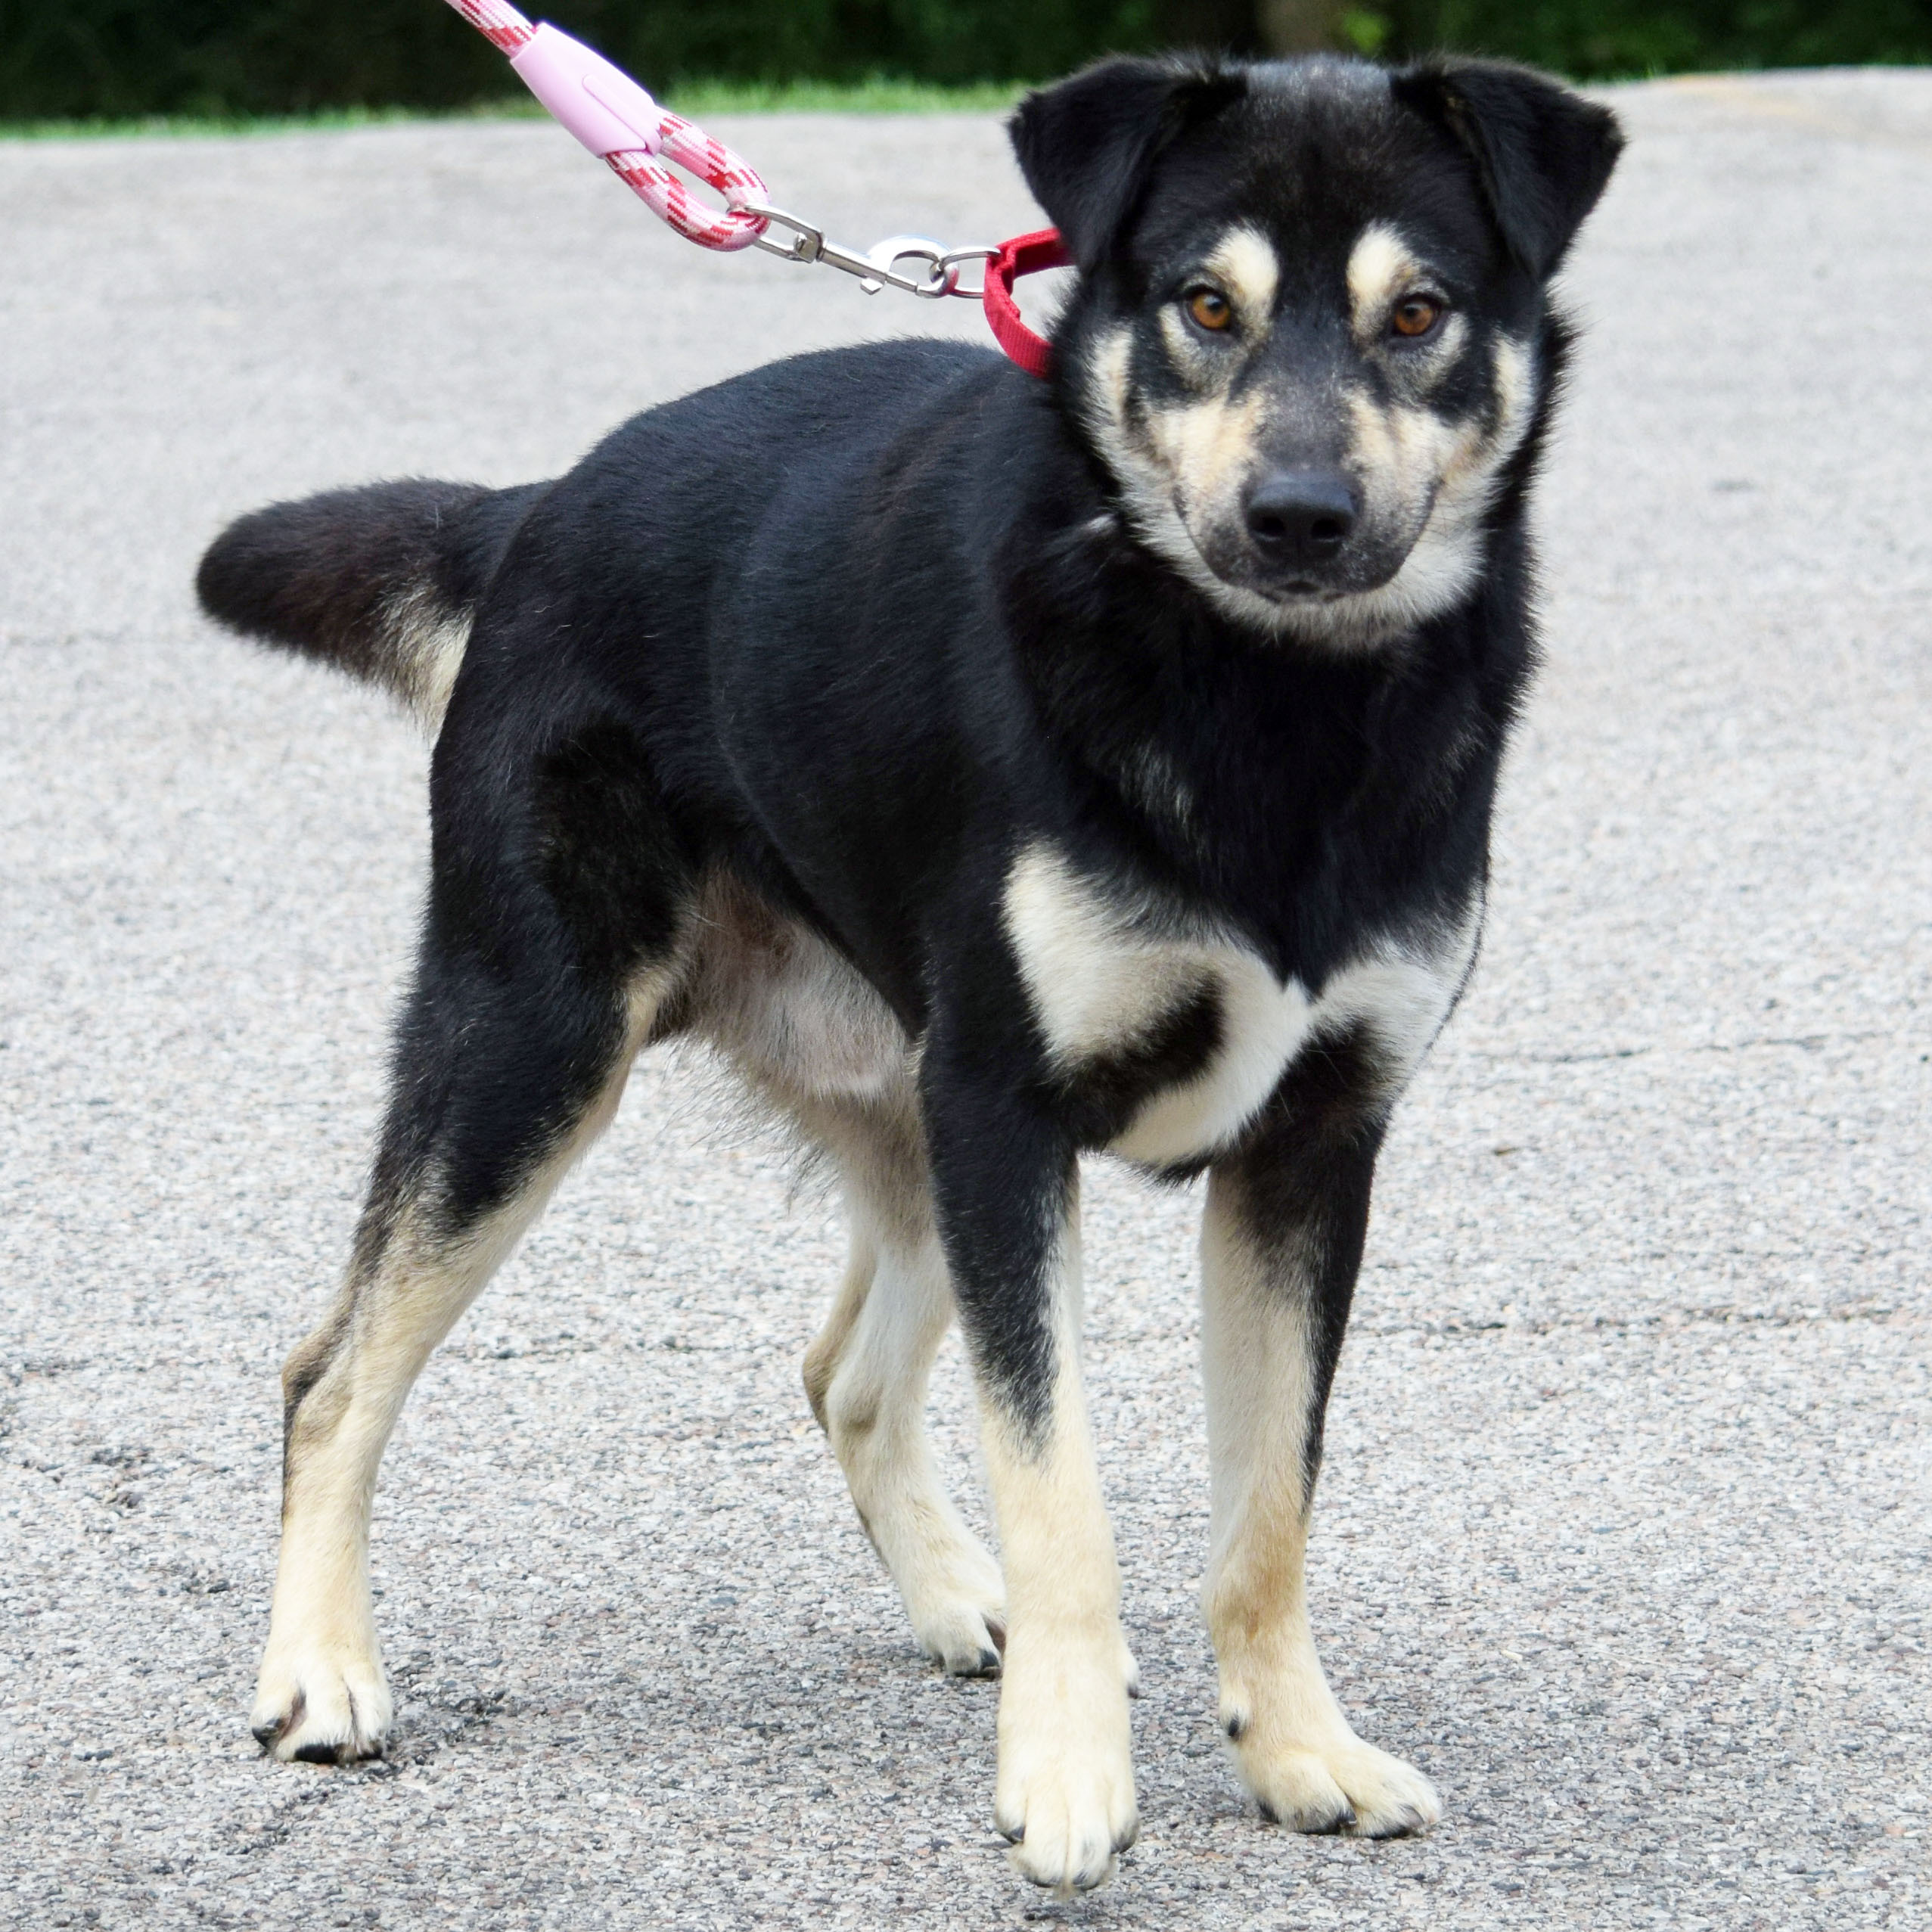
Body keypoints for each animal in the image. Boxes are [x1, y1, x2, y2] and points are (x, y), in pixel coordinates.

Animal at [196, 52, 1615, 1893]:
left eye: (1418, 312)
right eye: (1202, 306)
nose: (1296, 517)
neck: (1266, 700)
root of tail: (537, 513)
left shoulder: (1307, 1149)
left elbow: (1267, 1509)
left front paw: (1296, 1748)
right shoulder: (1011, 1112)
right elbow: (1063, 1484)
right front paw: (1068, 1775)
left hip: (904, 1111)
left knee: (843, 1371)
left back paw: (959, 1599)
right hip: (538, 1045)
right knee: (332, 1373)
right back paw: (320, 1669)